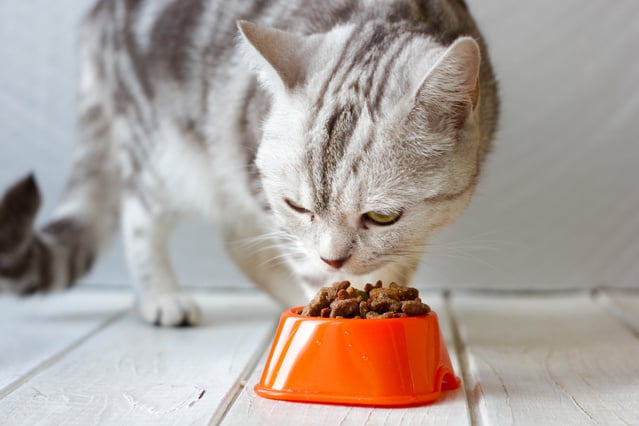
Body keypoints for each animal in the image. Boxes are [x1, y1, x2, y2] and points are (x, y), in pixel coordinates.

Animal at [0, 0, 500, 326]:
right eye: (298, 206)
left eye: (381, 216)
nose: (333, 259)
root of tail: (98, 14)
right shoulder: (274, 208)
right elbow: (309, 270)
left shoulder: (409, 236)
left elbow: (393, 264)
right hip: (165, 155)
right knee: (139, 218)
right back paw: (162, 297)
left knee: (236, 243)